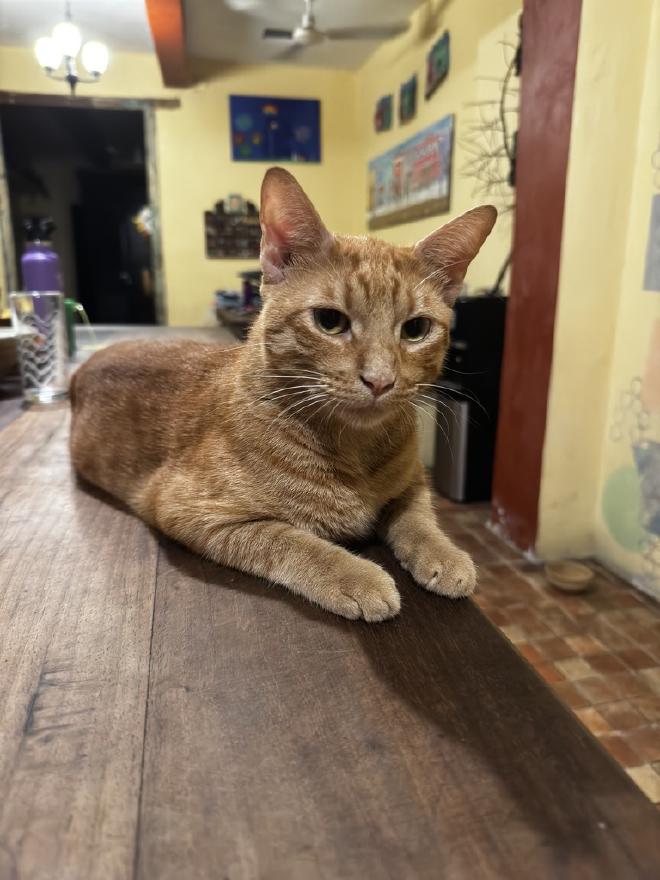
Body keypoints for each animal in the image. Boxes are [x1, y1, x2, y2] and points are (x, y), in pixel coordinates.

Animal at [71, 165, 496, 620]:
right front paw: (357, 576)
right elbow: (291, 540)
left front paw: (445, 554)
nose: (380, 381)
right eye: (329, 321)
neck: (354, 450)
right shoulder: (188, 509)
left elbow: (419, 518)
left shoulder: (413, 482)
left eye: (416, 329)